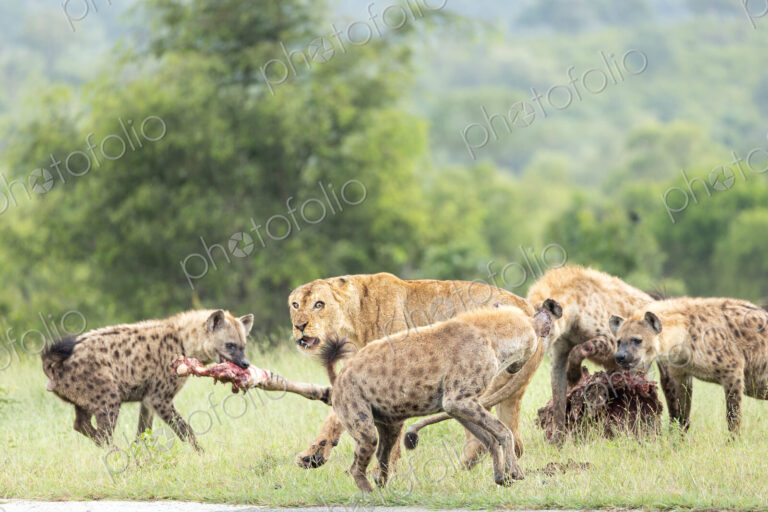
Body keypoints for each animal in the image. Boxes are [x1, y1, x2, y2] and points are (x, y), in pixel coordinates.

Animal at [288, 272, 544, 470]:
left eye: (319, 304)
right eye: (295, 305)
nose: (299, 326)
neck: (351, 322)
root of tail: (527, 307)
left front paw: (386, 468)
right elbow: (334, 418)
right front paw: (312, 456)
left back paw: (465, 466)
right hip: (506, 389)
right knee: (514, 436)